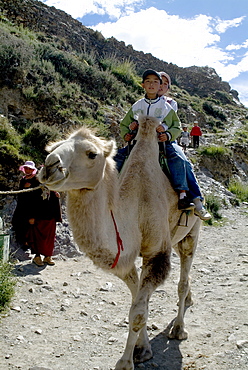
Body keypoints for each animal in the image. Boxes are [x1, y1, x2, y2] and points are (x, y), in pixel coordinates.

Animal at [38, 116, 202, 370]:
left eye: (92, 154)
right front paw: (143, 350)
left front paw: (125, 362)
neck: (135, 207)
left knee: (183, 278)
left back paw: (178, 329)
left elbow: (138, 312)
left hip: (192, 231)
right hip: (175, 237)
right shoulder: (125, 259)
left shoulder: (156, 253)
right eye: (52, 147)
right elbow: (138, 302)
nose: (49, 165)